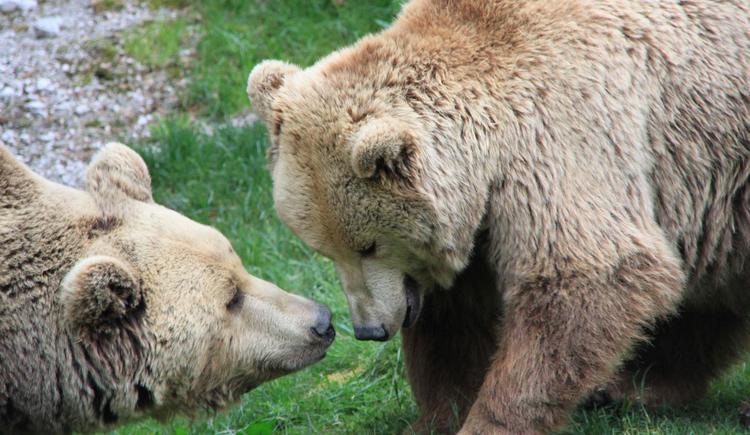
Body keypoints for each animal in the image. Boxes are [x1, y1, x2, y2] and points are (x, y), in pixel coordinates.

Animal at [250, 0, 750, 434]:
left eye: (368, 245)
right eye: (323, 250)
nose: (368, 329)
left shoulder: (561, 138)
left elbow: (585, 277)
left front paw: (491, 420)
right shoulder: (477, 223)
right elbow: (455, 321)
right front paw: (437, 416)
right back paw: (636, 385)